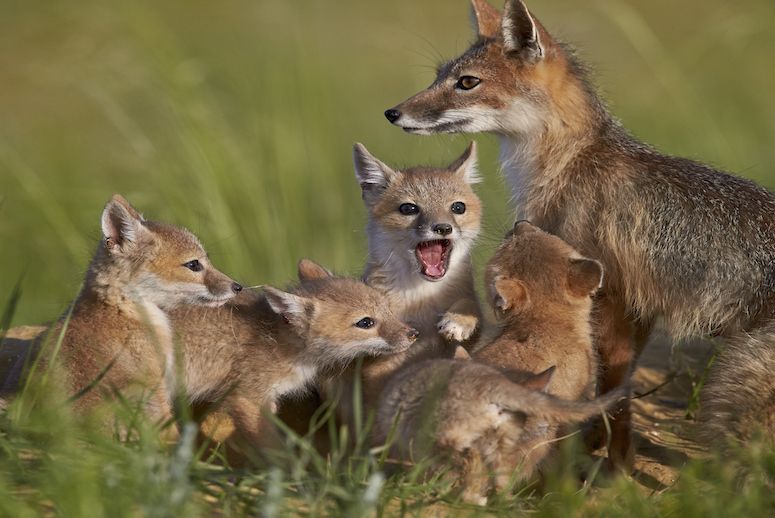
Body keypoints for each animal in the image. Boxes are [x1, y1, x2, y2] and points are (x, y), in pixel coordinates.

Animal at [388, 0, 775, 464]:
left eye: (466, 82)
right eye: (438, 75)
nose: (392, 112)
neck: (570, 162)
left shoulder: (612, 297)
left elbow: (613, 389)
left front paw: (614, 465)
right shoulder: (636, 307)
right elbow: (618, 387)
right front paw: (601, 449)